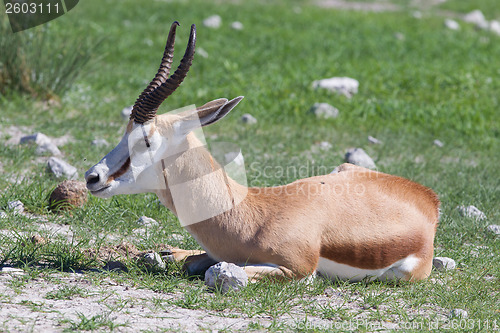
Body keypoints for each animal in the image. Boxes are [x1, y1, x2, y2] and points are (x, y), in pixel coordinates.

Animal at [85, 21, 438, 280]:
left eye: (145, 140)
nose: (92, 177)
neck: (250, 215)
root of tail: (427, 199)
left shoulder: (298, 270)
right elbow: (194, 261)